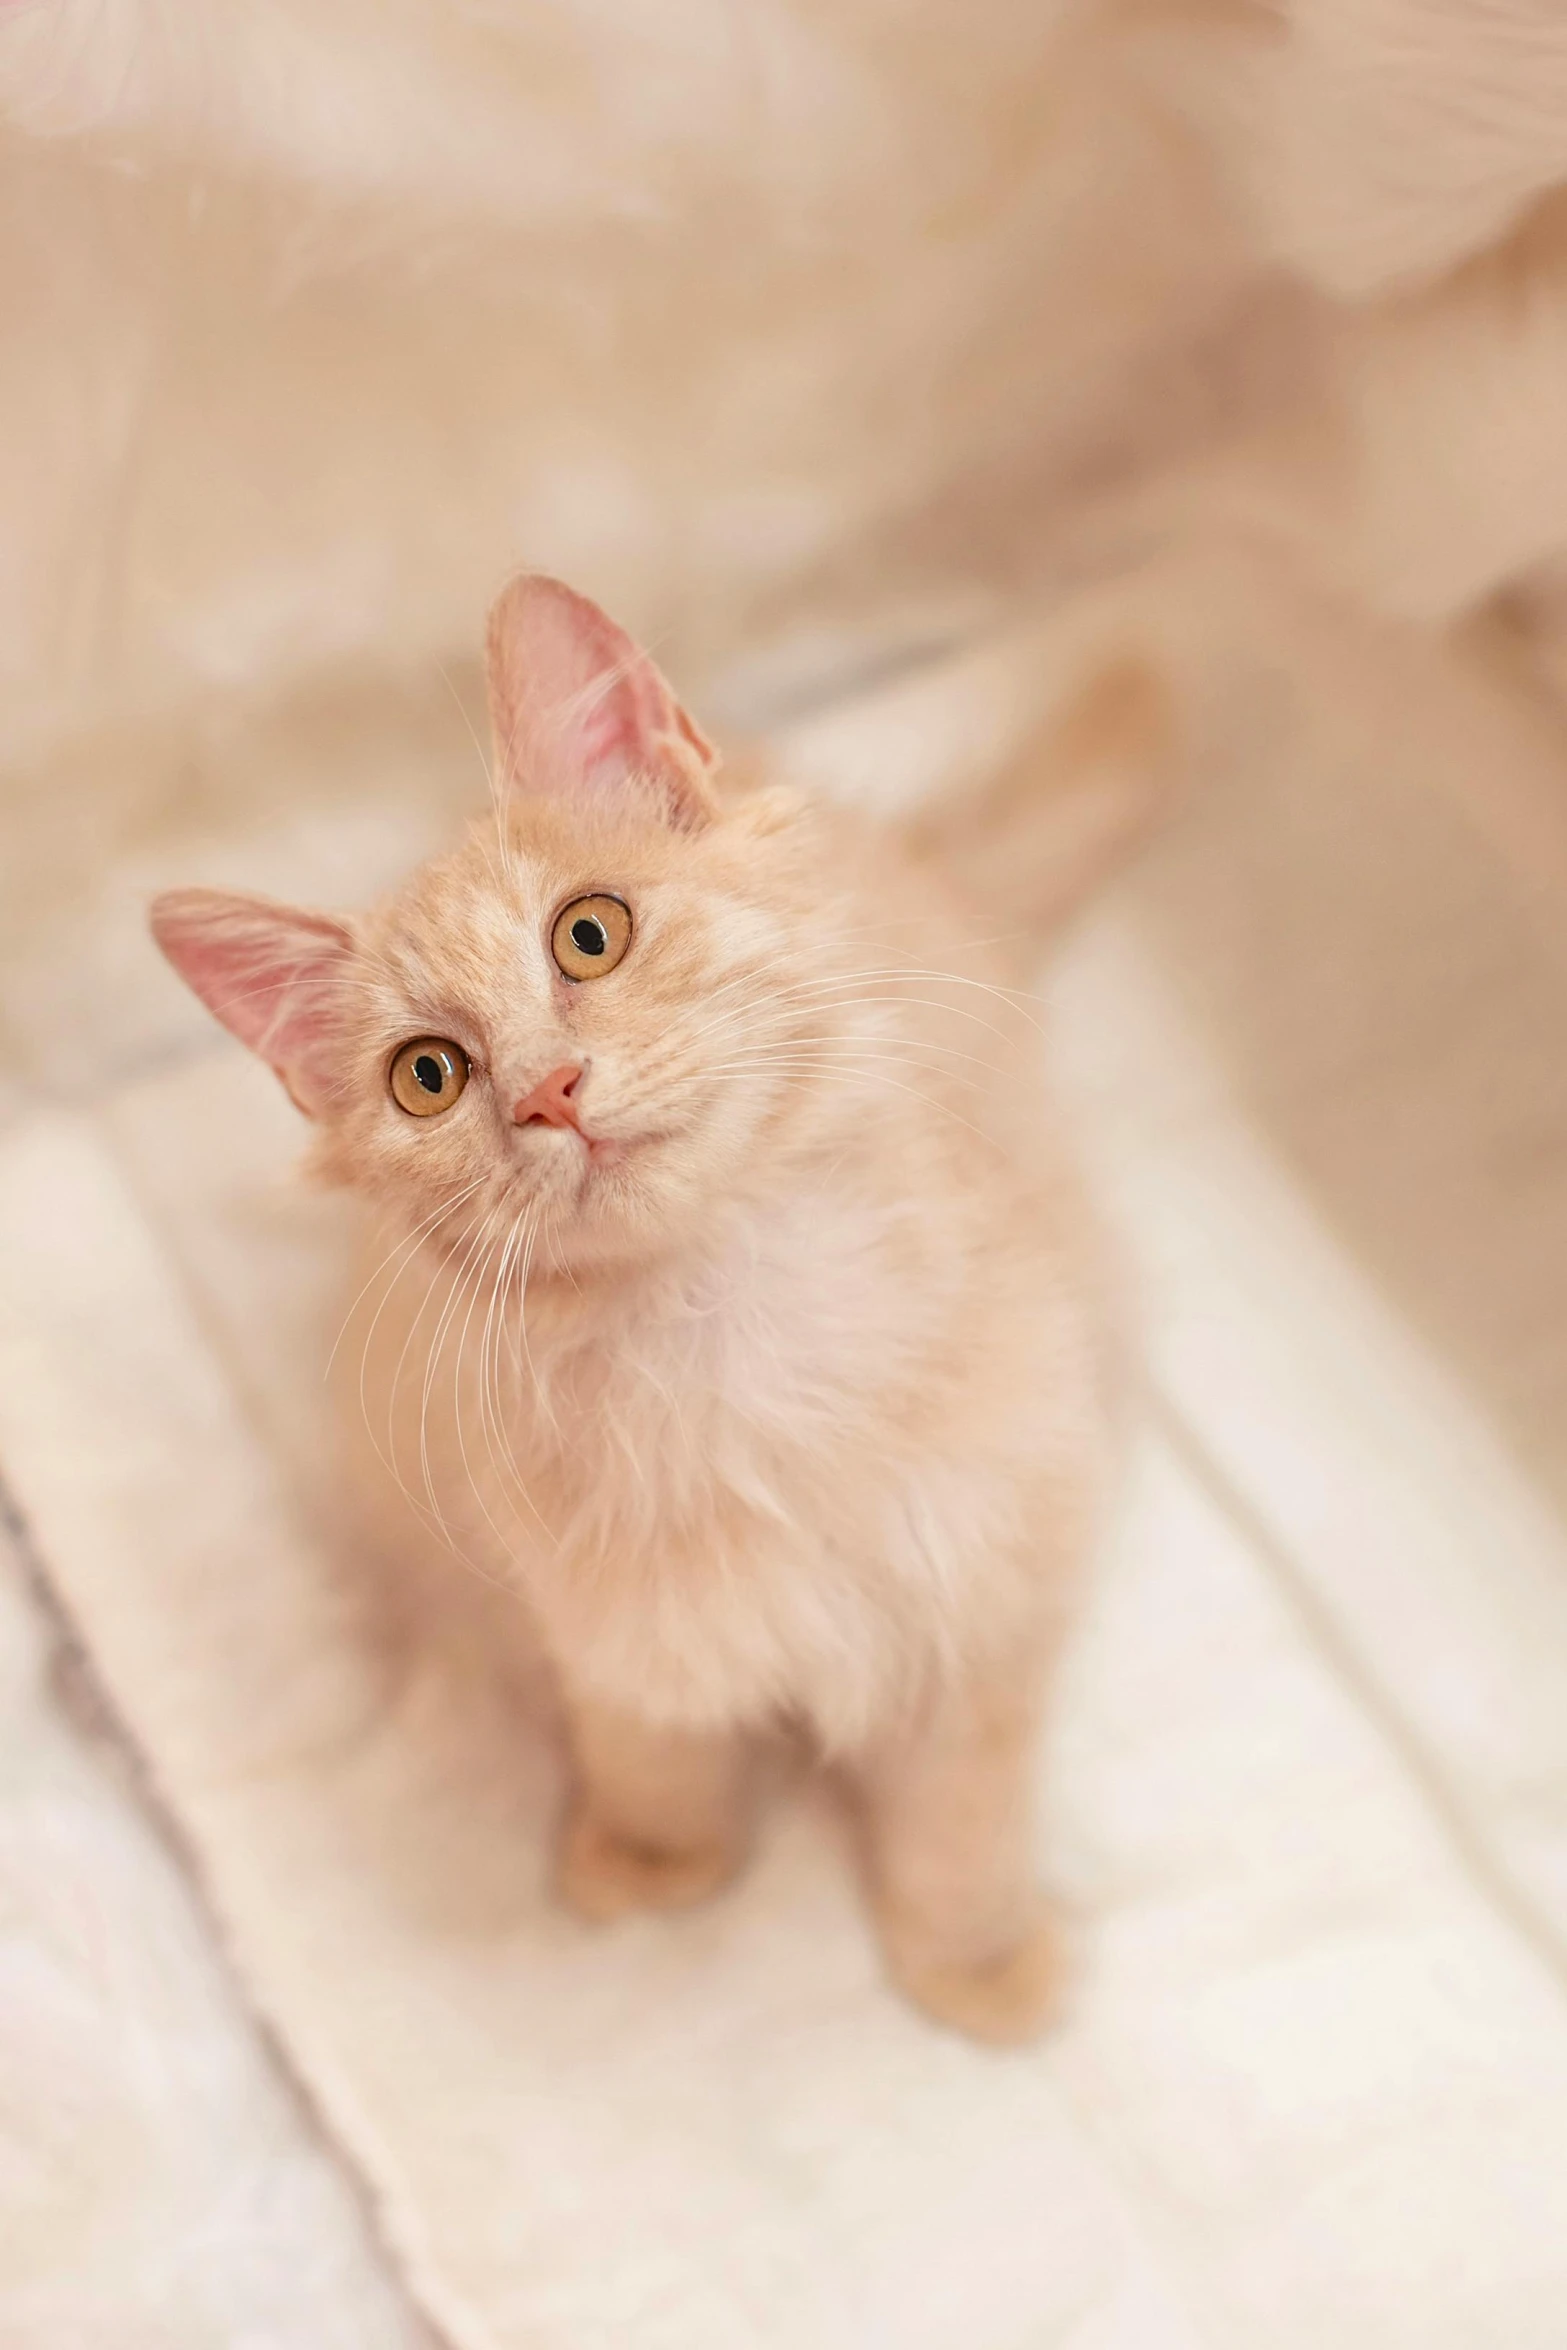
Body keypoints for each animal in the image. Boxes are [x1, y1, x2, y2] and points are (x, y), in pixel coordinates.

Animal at [150, 578, 1165, 2049]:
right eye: (428, 1076)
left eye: (591, 932)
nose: (548, 1090)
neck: (726, 1326)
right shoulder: (611, 1630)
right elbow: (653, 1758)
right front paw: (651, 1866)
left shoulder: (976, 1593)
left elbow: (958, 1822)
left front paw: (975, 1966)